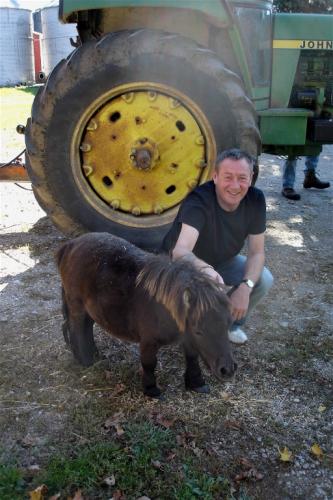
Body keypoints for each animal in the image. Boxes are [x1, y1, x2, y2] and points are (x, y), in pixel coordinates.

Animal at [55, 232, 235, 396]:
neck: (163, 306)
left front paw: (197, 383)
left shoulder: (187, 337)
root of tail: (70, 245)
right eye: (199, 331)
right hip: (77, 306)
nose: (228, 370)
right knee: (76, 329)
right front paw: (151, 390)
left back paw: (94, 355)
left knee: (86, 326)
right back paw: (85, 360)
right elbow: (149, 364)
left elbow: (192, 358)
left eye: (228, 324)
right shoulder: (149, 341)